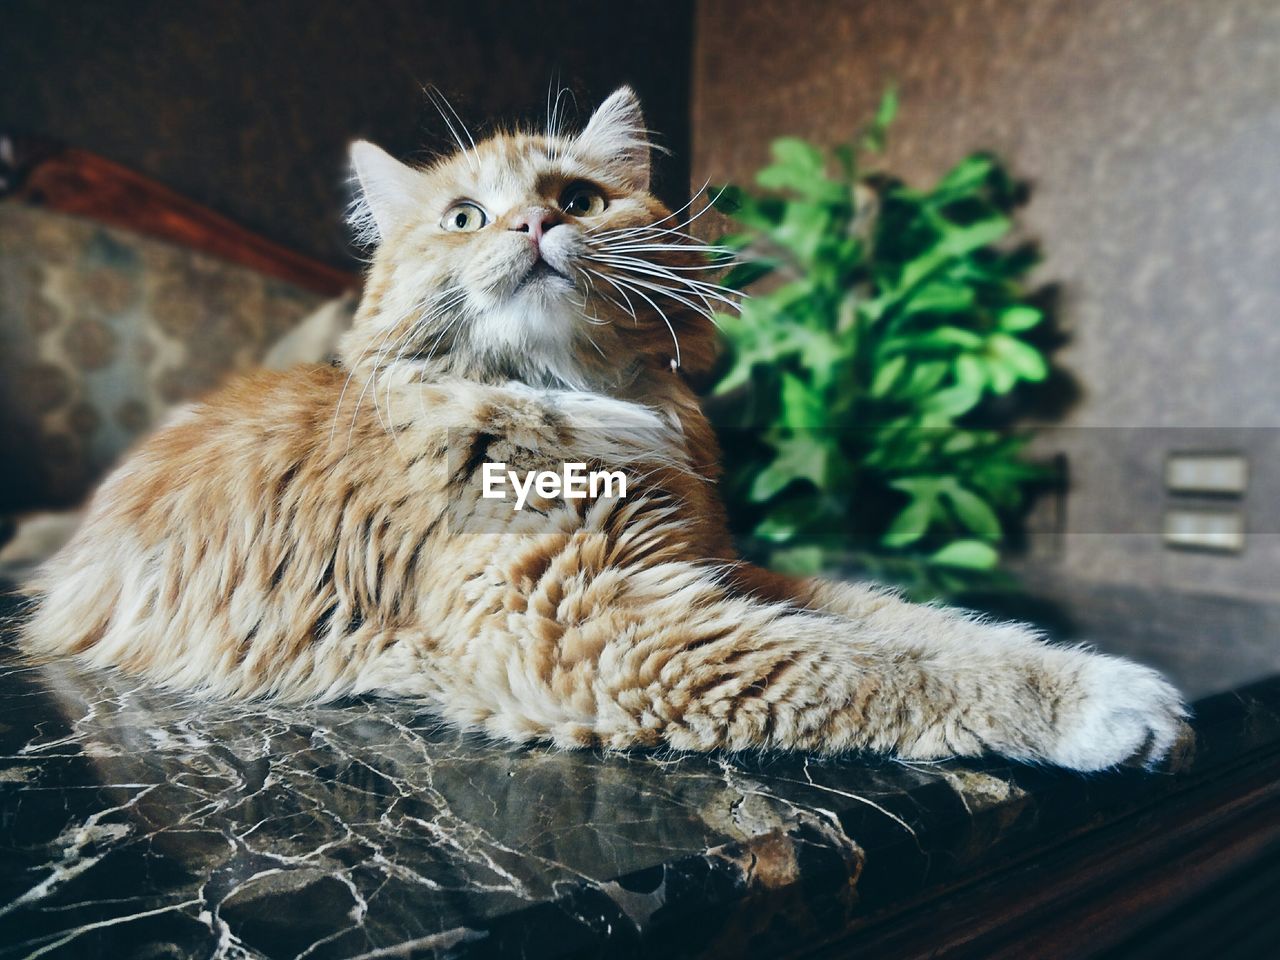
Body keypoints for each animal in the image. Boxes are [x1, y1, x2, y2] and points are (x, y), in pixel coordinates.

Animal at [15, 86, 1187, 773]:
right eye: (463, 218)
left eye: (577, 198)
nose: (534, 224)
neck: (570, 399)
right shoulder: (589, 626)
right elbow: (886, 668)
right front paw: (1094, 709)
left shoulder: (706, 569)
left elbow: (922, 625)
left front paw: (1100, 675)